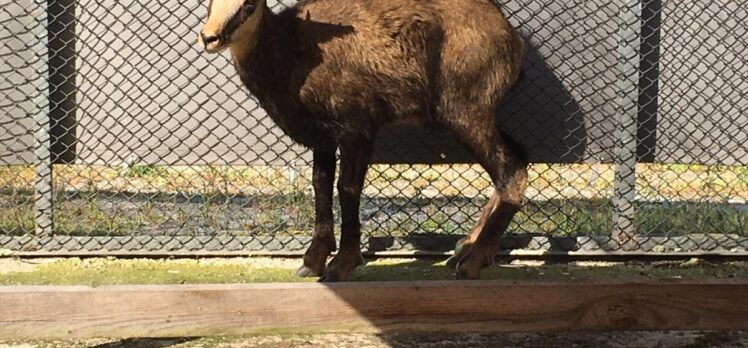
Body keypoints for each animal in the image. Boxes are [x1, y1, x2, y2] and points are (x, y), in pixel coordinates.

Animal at [199, 0, 524, 280]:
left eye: (249, 4)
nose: (209, 37)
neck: (290, 50)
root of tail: (512, 38)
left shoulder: (357, 127)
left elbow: (347, 187)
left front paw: (342, 263)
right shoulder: (324, 136)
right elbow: (320, 184)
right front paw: (313, 260)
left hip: (464, 112)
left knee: (510, 171)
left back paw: (472, 261)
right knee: (517, 156)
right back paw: (465, 247)